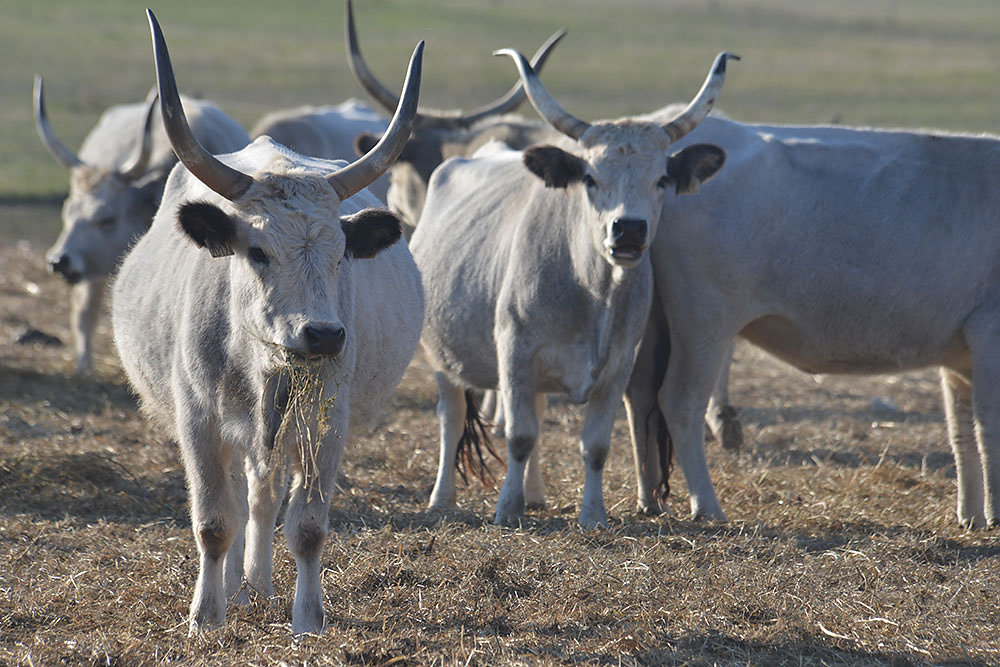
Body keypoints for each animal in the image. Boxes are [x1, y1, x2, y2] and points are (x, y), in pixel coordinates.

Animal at [408, 48, 736, 528]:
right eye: (591, 178)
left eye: (661, 179)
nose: (628, 229)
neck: (592, 292)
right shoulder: (515, 353)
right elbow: (519, 436)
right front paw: (506, 510)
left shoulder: (618, 365)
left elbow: (594, 445)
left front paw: (593, 515)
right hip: (442, 358)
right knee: (452, 417)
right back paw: (442, 498)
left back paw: (534, 494)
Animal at [620, 116, 1000, 528]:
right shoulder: (988, 335)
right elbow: (989, 429)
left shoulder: (960, 357)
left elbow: (962, 433)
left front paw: (972, 516)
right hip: (703, 321)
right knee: (680, 401)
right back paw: (706, 505)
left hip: (660, 321)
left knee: (640, 394)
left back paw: (650, 500)